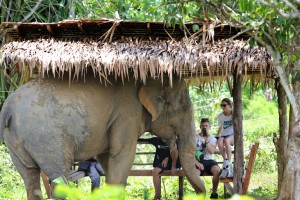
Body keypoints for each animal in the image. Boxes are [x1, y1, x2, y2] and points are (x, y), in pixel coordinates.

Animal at [0, 72, 206, 200]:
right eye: (183, 106)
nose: (202, 193)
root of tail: (8, 106)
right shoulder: (127, 115)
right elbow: (122, 156)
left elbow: (107, 159)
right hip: (47, 138)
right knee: (60, 178)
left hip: (16, 142)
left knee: (30, 177)